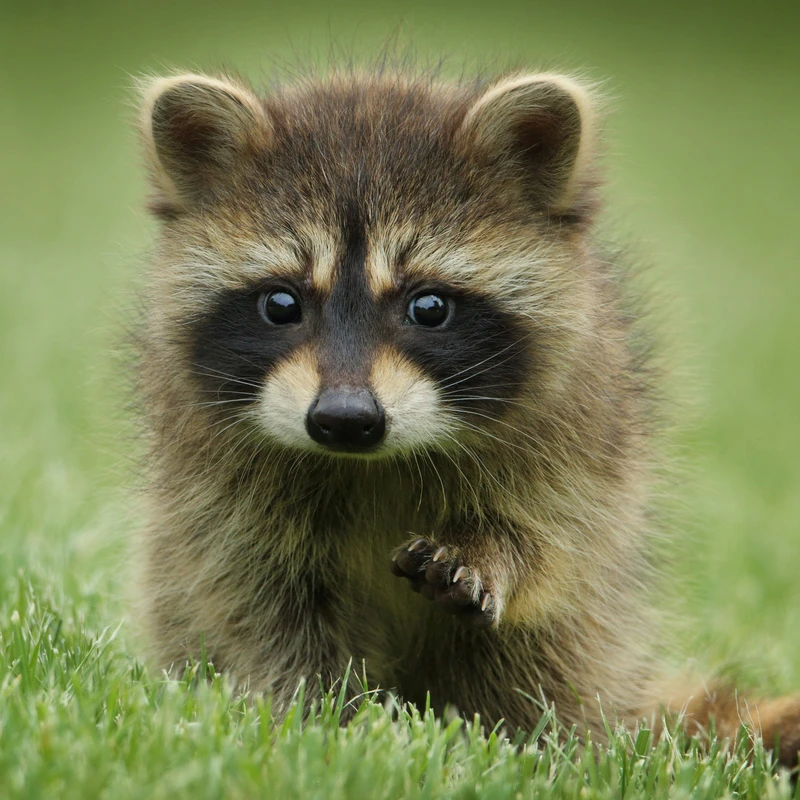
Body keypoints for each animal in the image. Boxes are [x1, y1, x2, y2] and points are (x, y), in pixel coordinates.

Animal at [134, 66, 800, 765]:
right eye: (281, 303)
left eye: (429, 307)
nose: (345, 419)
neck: (373, 463)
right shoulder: (216, 488)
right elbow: (256, 601)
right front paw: (319, 720)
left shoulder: (582, 428)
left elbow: (554, 540)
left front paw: (494, 552)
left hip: (596, 639)